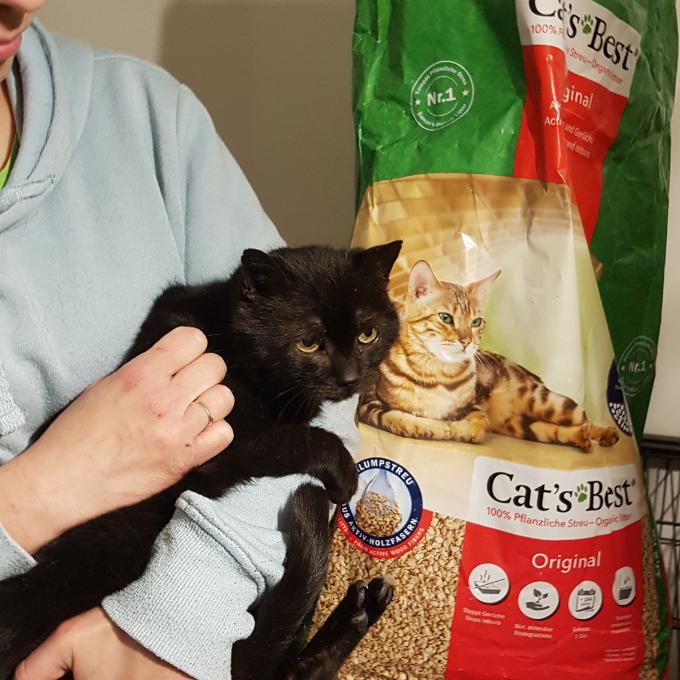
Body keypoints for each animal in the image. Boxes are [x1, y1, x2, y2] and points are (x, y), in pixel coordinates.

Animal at [0, 241, 403, 680]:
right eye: (309, 343)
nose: (350, 379)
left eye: (367, 334)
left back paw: (363, 607)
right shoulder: (216, 447)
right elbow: (295, 439)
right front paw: (345, 474)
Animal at [359, 258, 618, 451]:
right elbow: (398, 417)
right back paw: (583, 438)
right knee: (559, 430)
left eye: (476, 322)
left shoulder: (475, 407)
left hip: (551, 404)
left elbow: (476, 424)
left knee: (584, 417)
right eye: (445, 318)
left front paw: (454, 429)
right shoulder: (369, 405)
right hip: (524, 426)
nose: (466, 342)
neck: (438, 373)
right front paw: (431, 427)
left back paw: (605, 433)